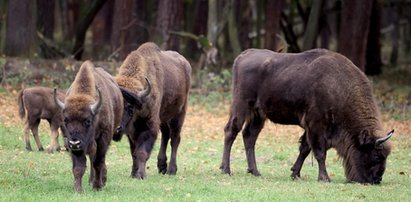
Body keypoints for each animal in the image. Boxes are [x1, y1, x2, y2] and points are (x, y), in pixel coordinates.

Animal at [54, 61, 123, 193]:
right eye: (66, 120)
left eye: (87, 121)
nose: (74, 143)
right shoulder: (75, 147)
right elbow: (79, 167)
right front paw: (78, 190)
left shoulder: (103, 138)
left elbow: (98, 162)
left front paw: (97, 186)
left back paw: (101, 180)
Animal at [113, 42, 192, 178]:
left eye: (130, 107)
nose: (117, 128)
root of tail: (186, 63)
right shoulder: (132, 132)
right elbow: (133, 152)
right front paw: (133, 173)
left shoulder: (150, 127)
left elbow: (142, 152)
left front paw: (141, 175)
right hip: (164, 118)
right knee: (166, 135)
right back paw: (162, 166)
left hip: (178, 114)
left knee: (175, 139)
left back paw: (171, 170)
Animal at [222, 48, 396, 184]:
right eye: (376, 156)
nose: (377, 179)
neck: (339, 88)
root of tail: (243, 56)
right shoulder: (316, 126)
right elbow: (319, 152)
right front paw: (324, 178)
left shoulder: (311, 128)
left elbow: (305, 149)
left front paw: (295, 174)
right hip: (242, 106)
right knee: (231, 131)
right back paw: (226, 170)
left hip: (259, 114)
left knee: (249, 136)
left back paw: (255, 171)